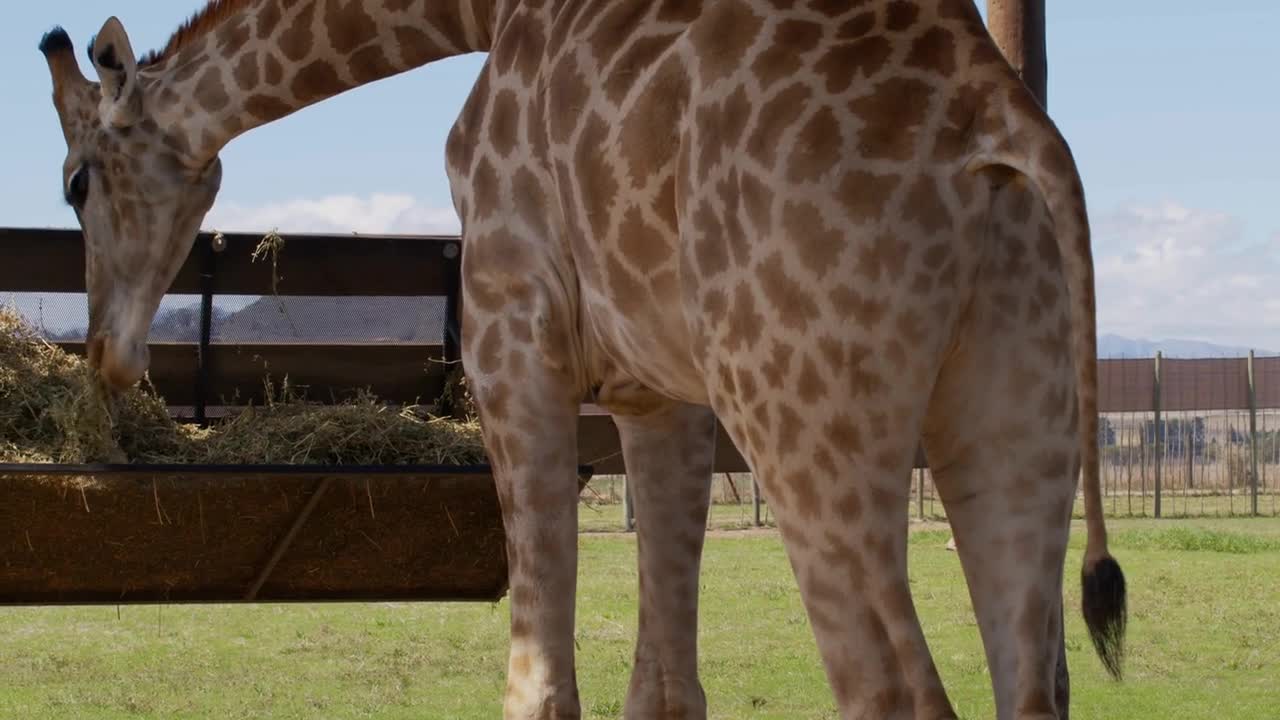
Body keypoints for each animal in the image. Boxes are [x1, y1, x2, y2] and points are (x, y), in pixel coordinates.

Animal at [32, 2, 1131, 712]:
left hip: (803, 419)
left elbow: (538, 685)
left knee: (892, 690)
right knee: (1034, 681)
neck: (478, 13)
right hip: (1016, 421)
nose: (109, 359)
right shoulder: (661, 392)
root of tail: (998, 125)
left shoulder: (509, 325)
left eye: (76, 181)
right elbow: (666, 689)